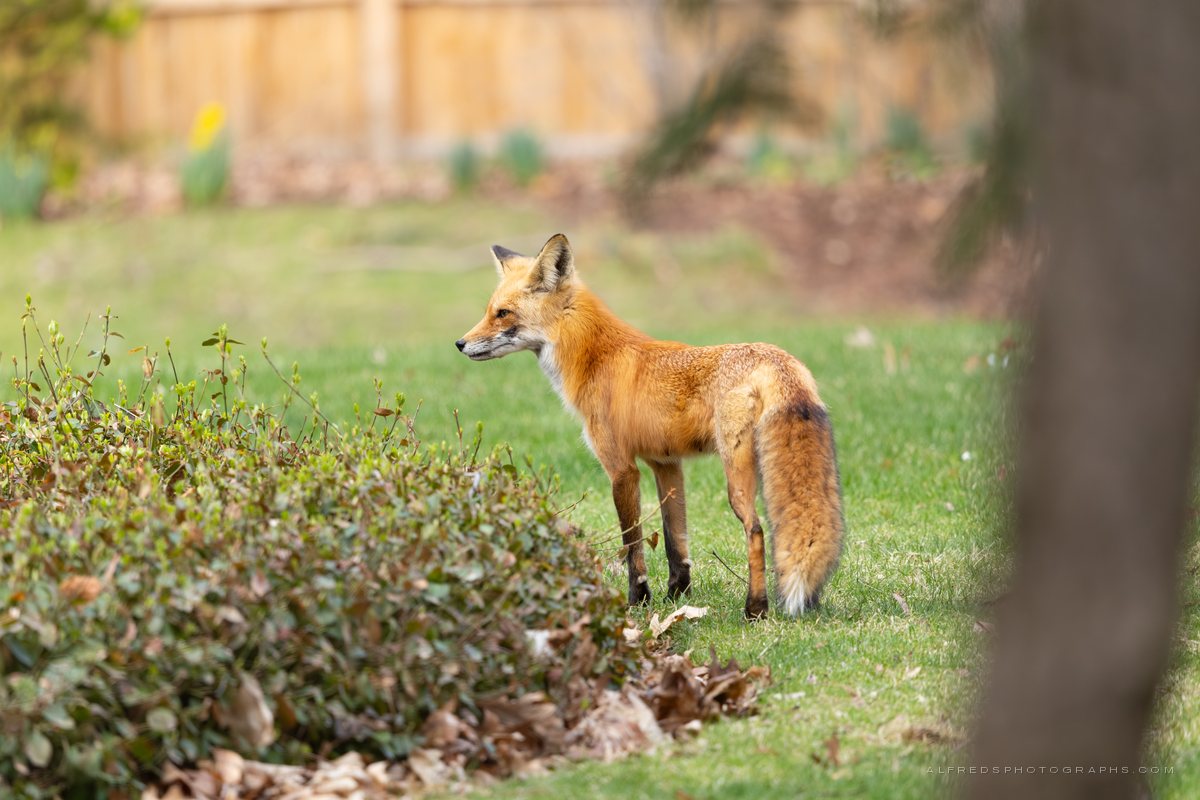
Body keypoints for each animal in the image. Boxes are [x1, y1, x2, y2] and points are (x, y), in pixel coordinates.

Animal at [456, 234, 844, 619]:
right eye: (489, 310)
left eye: (502, 313)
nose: (460, 343)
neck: (594, 358)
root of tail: (777, 359)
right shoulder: (666, 463)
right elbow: (676, 540)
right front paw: (677, 595)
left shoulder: (621, 469)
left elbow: (632, 542)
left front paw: (637, 599)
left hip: (736, 474)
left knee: (757, 529)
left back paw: (755, 609)